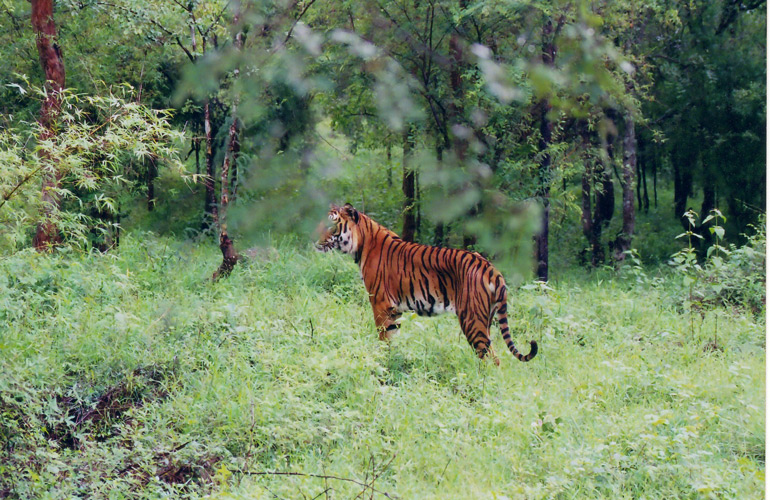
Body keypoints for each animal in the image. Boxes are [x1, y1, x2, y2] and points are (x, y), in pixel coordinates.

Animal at [315, 203, 537, 365]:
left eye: (332, 225)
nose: (314, 240)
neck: (361, 244)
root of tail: (491, 268)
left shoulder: (380, 304)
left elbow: (383, 339)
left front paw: (381, 362)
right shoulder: (394, 310)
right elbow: (392, 338)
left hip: (472, 319)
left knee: (491, 358)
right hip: (486, 318)